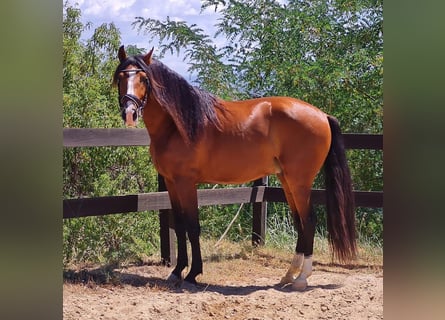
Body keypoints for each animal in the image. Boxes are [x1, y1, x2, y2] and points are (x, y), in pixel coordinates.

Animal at [112, 46, 356, 292]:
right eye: (121, 77)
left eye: (144, 79)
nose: (130, 113)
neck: (178, 125)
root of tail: (322, 115)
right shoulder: (171, 182)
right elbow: (179, 225)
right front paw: (176, 271)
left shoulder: (186, 182)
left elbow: (193, 226)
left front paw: (192, 274)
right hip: (287, 180)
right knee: (300, 222)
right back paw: (289, 275)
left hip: (299, 181)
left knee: (309, 221)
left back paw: (301, 279)